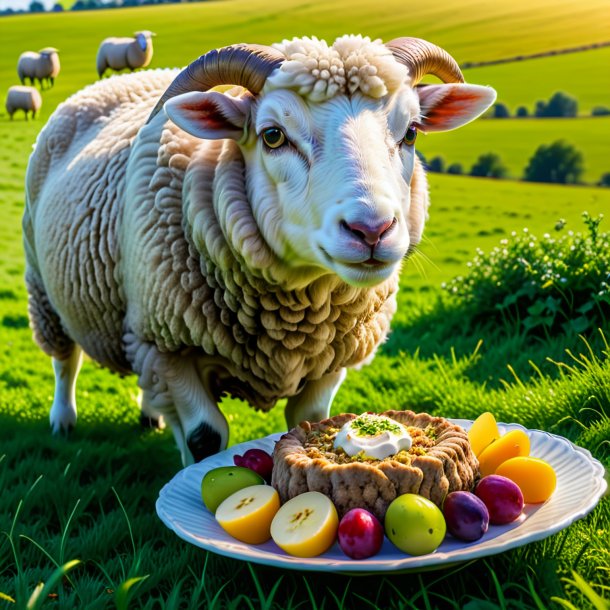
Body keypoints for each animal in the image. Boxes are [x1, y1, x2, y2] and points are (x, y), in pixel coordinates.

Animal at [23, 36, 494, 466]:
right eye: (272, 135)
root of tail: (116, 80)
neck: (291, 322)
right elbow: (204, 439)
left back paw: (148, 415)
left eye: (411, 131)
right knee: (65, 361)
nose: (372, 230)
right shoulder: (171, 349)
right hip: (44, 284)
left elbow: (309, 422)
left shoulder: (328, 362)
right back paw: (63, 421)